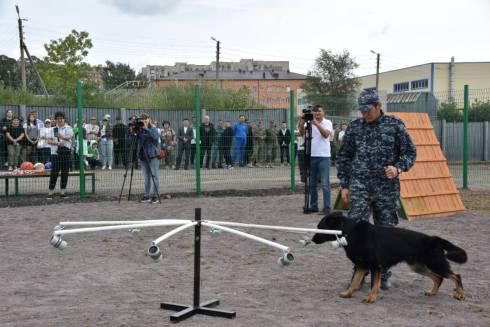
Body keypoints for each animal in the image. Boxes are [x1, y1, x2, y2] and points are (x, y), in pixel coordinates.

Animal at [310, 213, 468, 304]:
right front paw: (348, 294)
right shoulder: (361, 266)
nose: (312, 240)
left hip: (435, 264)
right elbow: (354, 282)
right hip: (419, 266)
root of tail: (434, 239)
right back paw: (432, 292)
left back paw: (460, 294)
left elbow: (374, 285)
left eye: (319, 227)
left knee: (456, 275)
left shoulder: (375, 267)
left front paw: (371, 298)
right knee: (439, 278)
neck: (350, 232)